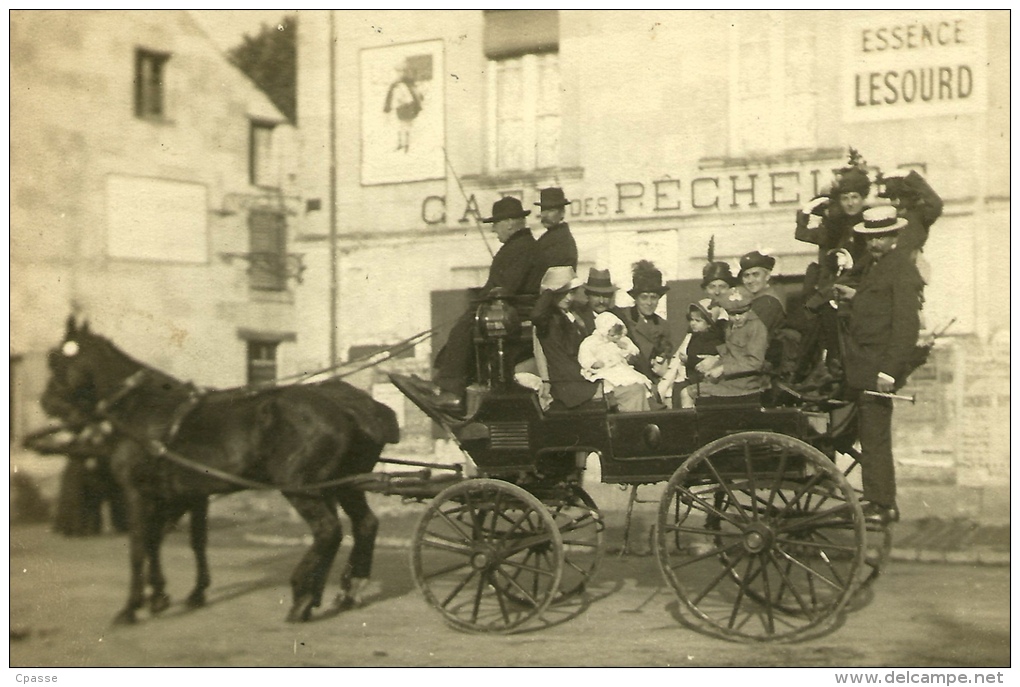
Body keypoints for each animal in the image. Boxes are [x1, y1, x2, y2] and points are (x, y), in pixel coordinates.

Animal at [43, 318, 401, 623]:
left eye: (56, 359)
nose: (48, 404)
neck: (146, 411)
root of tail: (352, 406)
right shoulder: (183, 495)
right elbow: (177, 541)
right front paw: (169, 595)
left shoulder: (139, 493)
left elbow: (139, 547)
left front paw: (131, 607)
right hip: (345, 485)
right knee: (363, 525)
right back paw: (343, 590)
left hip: (302, 488)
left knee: (328, 530)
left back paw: (302, 596)